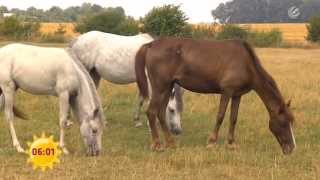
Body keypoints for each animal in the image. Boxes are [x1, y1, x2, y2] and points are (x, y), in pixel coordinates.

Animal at [134, 37, 296, 155]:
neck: (246, 63)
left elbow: (233, 119)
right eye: (283, 123)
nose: (291, 148)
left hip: (167, 88)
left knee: (161, 113)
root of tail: (151, 45)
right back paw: (157, 145)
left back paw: (171, 143)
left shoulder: (237, 95)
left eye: (291, 122)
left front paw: (231, 144)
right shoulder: (227, 91)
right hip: (160, 88)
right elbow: (220, 116)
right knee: (151, 112)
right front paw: (212, 142)